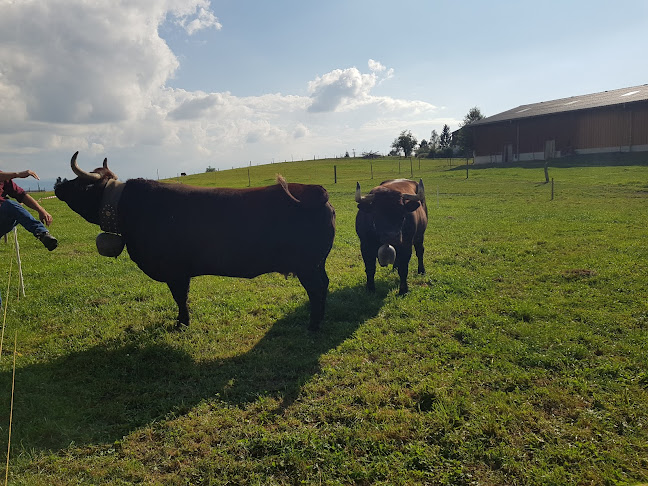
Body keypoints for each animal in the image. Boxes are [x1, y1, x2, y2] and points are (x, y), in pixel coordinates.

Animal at [56, 154, 336, 332]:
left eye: (80, 183)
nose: (58, 184)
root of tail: (316, 191)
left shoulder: (175, 271)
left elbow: (180, 298)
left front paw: (182, 323)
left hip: (308, 266)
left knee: (317, 289)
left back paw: (313, 325)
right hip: (315, 265)